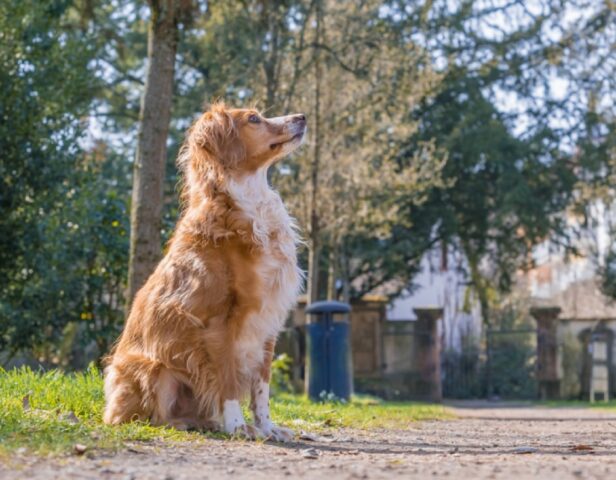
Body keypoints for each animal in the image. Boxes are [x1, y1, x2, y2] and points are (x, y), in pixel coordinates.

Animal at [104, 102, 308, 442]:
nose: (302, 117)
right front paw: (237, 425)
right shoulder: (218, 322)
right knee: (146, 418)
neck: (249, 202)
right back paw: (187, 425)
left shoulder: (268, 320)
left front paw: (266, 427)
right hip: (155, 368)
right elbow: (227, 381)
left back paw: (210, 423)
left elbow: (262, 387)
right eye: (254, 119)